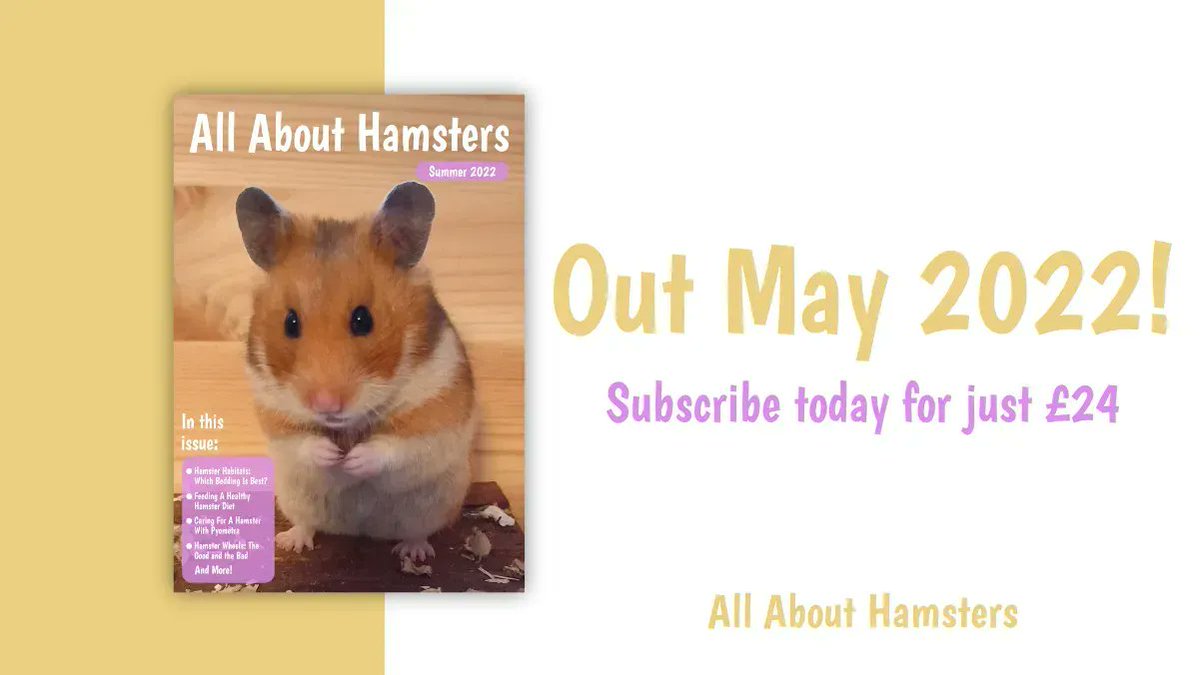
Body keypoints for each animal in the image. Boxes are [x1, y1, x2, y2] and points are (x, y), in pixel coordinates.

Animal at [236, 182, 477, 562]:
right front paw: (333, 456)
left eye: (363, 319)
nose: (326, 405)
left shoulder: (436, 412)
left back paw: (415, 553)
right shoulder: (273, 413)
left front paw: (352, 460)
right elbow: (301, 441)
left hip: (438, 501)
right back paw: (291, 541)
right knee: (306, 523)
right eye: (290, 323)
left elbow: (395, 447)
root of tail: (360, 531)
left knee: (417, 530)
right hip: (292, 497)